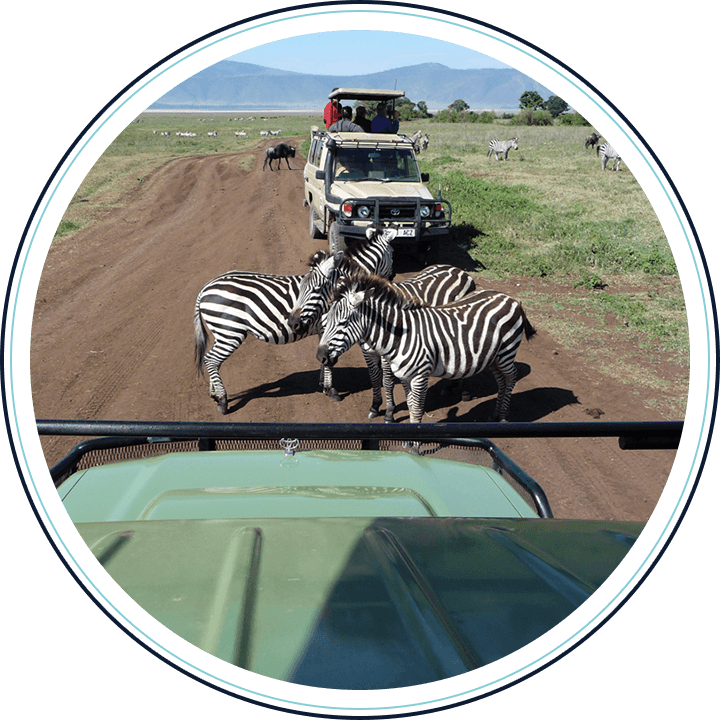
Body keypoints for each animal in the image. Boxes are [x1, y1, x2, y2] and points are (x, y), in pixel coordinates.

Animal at [194, 225, 396, 416]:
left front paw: (322, 384)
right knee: (212, 359)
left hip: (221, 333)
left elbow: (324, 358)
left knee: (210, 359)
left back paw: (214, 394)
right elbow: (330, 361)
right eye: (392, 253)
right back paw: (222, 401)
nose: (391, 279)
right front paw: (331, 391)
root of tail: (205, 287)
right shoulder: (330, 326)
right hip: (230, 331)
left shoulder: (324, 331)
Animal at [286, 253, 478, 422]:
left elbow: (387, 380)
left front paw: (389, 413)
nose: (292, 322)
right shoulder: (368, 352)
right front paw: (375, 407)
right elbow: (374, 377)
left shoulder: (388, 354)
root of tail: (457, 269)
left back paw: (465, 392)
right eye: (300, 288)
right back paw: (450, 386)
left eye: (316, 290)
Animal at [316, 272, 536, 424]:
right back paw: (494, 415)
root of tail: (510, 298)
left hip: (507, 352)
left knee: (511, 377)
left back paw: (503, 416)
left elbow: (412, 405)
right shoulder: (404, 375)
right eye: (325, 321)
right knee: (501, 380)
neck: (400, 335)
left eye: (343, 322)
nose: (320, 356)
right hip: (493, 357)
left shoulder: (419, 375)